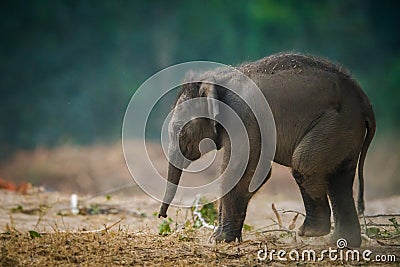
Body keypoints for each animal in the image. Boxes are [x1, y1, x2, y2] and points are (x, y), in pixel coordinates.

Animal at [159, 53, 376, 248]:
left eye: (178, 129)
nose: (162, 215)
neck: (217, 79)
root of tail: (364, 100)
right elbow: (254, 174)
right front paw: (220, 239)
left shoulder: (242, 117)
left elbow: (238, 169)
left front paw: (219, 240)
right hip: (345, 131)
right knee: (339, 179)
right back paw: (341, 242)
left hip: (334, 124)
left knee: (305, 166)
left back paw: (310, 232)